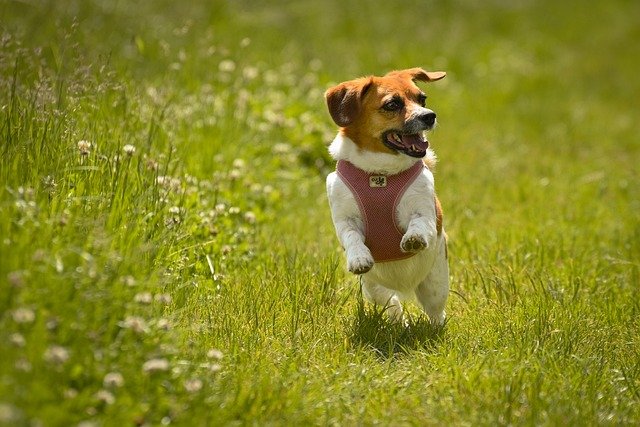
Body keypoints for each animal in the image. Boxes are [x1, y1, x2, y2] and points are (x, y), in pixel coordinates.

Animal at [324, 68, 450, 326]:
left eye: (422, 99)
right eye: (392, 104)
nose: (430, 116)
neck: (380, 174)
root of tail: (405, 286)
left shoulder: (425, 210)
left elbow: (420, 222)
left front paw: (413, 238)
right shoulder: (344, 219)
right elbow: (352, 236)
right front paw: (358, 258)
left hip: (436, 283)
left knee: (436, 312)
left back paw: (436, 327)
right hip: (375, 289)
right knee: (392, 306)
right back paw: (398, 321)